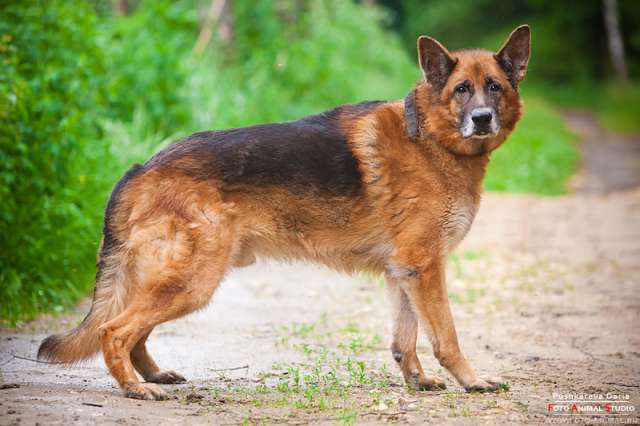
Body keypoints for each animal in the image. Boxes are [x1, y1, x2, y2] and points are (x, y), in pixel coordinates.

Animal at [38, 25, 528, 400]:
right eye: (461, 90)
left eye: (495, 88)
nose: (482, 118)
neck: (429, 136)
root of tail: (143, 166)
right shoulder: (425, 269)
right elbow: (446, 336)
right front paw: (472, 381)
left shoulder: (405, 272)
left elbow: (404, 340)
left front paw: (418, 380)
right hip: (193, 281)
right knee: (115, 331)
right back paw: (136, 388)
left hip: (176, 280)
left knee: (135, 331)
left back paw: (152, 374)